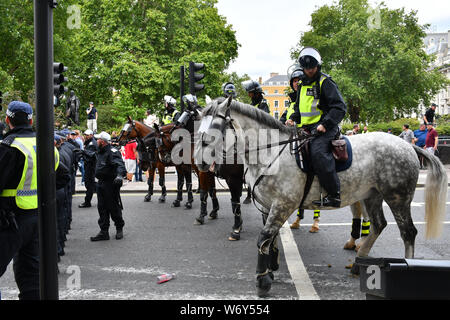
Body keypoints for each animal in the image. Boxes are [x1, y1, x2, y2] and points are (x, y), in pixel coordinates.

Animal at [196, 97, 446, 298]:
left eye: (217, 126)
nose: (199, 162)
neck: (270, 152)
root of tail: (407, 145)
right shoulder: (268, 205)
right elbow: (271, 239)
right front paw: (270, 269)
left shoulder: (283, 204)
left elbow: (264, 237)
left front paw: (263, 280)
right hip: (372, 195)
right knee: (379, 225)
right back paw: (358, 263)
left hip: (397, 197)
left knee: (408, 232)